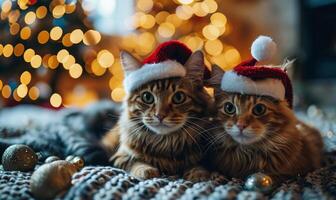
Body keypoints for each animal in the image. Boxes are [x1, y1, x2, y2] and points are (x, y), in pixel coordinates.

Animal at [101, 50, 213, 180]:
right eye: (147, 97)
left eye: (178, 97)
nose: (160, 115)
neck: (165, 143)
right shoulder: (120, 156)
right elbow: (135, 163)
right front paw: (146, 171)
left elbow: (198, 165)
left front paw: (198, 174)